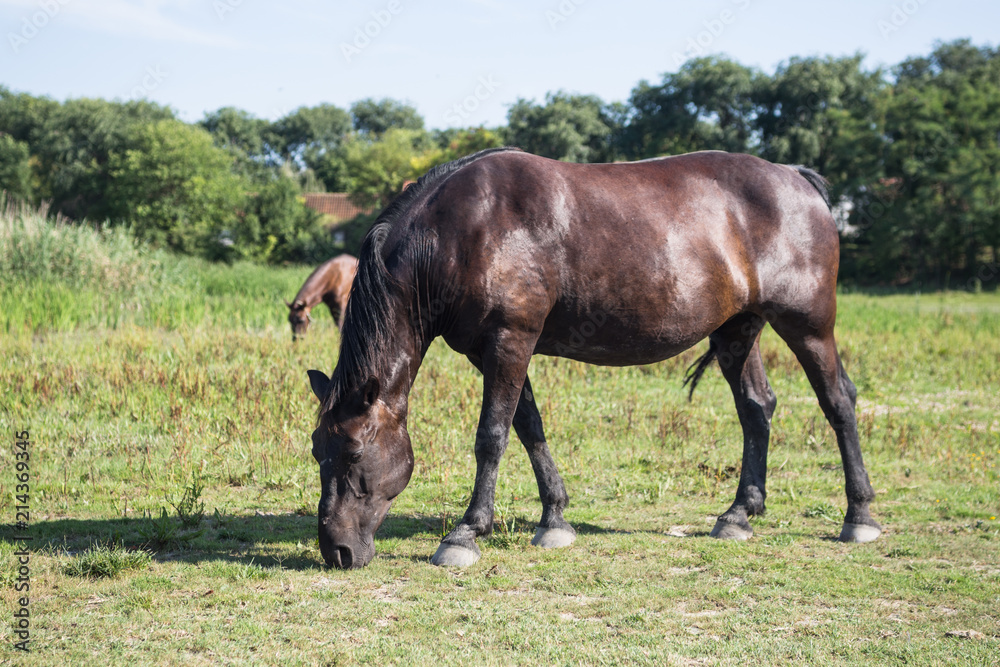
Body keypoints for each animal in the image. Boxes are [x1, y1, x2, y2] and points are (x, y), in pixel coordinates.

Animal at [306, 146, 884, 568]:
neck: (462, 231)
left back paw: (859, 516)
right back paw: (740, 514)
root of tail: (797, 179)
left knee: (838, 402)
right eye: (317, 451)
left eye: (354, 453)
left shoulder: (509, 341)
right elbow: (529, 428)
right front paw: (555, 520)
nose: (337, 551)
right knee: (756, 409)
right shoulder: (495, 350)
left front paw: (466, 533)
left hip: (808, 326)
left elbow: (492, 436)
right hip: (737, 331)